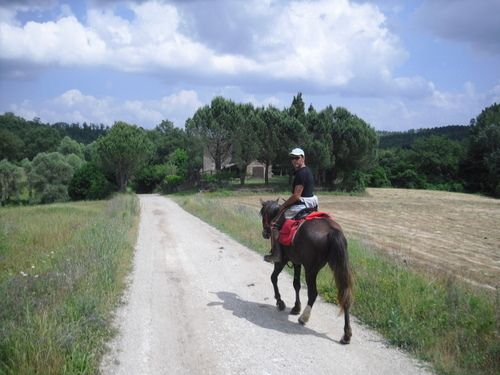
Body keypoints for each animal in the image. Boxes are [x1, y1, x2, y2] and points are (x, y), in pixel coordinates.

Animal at [260, 200, 354, 346]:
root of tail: (332, 230)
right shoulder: (297, 262)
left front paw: (280, 302)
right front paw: (296, 307)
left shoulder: (283, 261)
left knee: (313, 293)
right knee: (345, 295)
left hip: (311, 269)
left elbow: (273, 278)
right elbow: (296, 284)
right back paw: (346, 334)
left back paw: (304, 317)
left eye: (263, 214)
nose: (265, 233)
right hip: (337, 266)